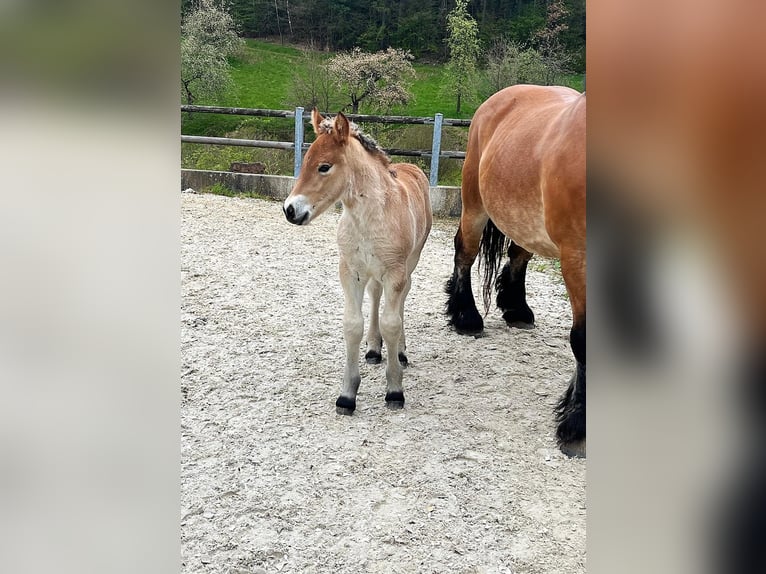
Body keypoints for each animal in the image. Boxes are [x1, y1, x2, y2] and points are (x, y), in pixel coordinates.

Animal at [284, 109, 436, 414]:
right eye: (304, 161)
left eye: (324, 167)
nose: (290, 210)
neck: (368, 218)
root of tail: (412, 167)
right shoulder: (350, 271)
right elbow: (353, 325)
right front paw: (347, 394)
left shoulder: (395, 272)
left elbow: (391, 323)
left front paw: (394, 390)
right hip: (373, 272)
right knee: (375, 295)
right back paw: (374, 350)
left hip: (410, 263)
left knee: (401, 300)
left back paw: (400, 352)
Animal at [444, 84, 588, 460]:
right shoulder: (578, 258)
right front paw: (577, 428)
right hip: (475, 204)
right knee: (464, 252)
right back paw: (465, 317)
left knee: (518, 254)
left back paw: (516, 309)